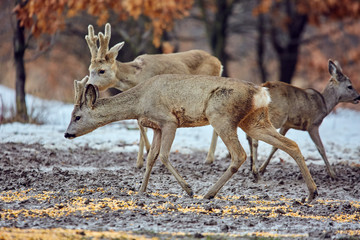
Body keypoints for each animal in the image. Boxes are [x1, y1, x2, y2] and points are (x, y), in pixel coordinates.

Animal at [64, 74, 318, 202]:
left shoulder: (169, 121)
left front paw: (188, 189)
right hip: (255, 121)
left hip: (221, 115)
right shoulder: (156, 127)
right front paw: (141, 191)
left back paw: (208, 193)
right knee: (291, 144)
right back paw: (312, 193)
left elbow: (164, 156)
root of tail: (261, 93)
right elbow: (151, 157)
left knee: (239, 155)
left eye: (77, 116)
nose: (67, 134)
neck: (139, 102)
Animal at [86, 23, 224, 168]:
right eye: (90, 69)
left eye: (101, 70)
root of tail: (219, 63)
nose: (88, 85)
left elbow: (144, 126)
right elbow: (140, 125)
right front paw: (139, 162)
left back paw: (209, 158)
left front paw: (148, 152)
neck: (136, 76)